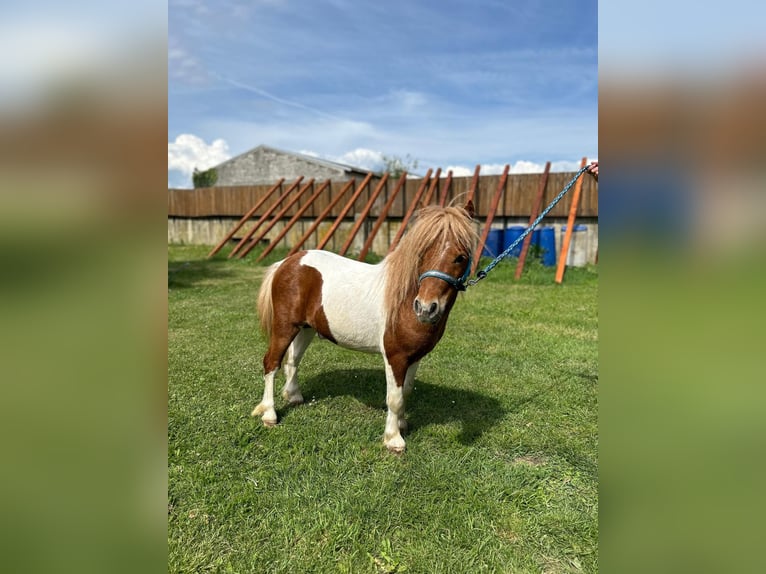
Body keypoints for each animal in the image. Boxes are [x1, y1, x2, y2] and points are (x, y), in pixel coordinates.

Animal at [255, 200, 476, 452]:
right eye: (422, 253)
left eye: (460, 257)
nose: (425, 308)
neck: (402, 301)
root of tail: (287, 262)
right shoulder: (395, 357)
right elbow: (394, 398)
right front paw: (393, 439)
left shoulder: (415, 357)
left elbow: (406, 391)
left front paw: (402, 424)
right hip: (284, 327)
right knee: (272, 363)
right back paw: (269, 414)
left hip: (305, 329)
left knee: (292, 361)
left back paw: (293, 397)